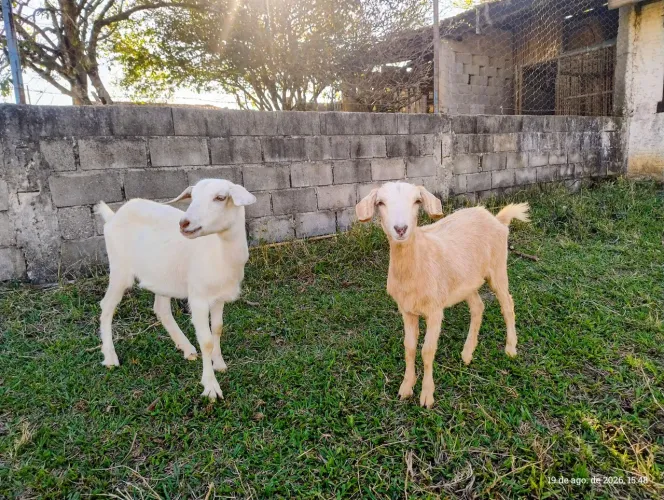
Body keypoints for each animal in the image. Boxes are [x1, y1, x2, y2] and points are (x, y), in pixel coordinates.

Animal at [95, 178, 256, 401]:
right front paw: (210, 386)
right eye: (192, 196)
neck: (220, 253)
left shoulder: (219, 297)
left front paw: (220, 364)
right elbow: (206, 340)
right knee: (107, 307)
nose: (184, 223)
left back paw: (186, 348)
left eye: (220, 197)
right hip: (119, 269)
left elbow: (218, 328)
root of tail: (113, 216)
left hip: (161, 277)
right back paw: (110, 357)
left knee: (161, 309)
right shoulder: (198, 297)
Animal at [356, 181, 529, 408]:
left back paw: (510, 348)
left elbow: (427, 351)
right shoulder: (407, 310)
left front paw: (427, 396)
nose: (401, 229)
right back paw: (467, 352)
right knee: (478, 306)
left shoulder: (435, 310)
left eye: (417, 201)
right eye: (381, 203)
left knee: (507, 305)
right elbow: (409, 347)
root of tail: (497, 219)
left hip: (498, 268)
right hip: (466, 281)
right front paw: (406, 388)